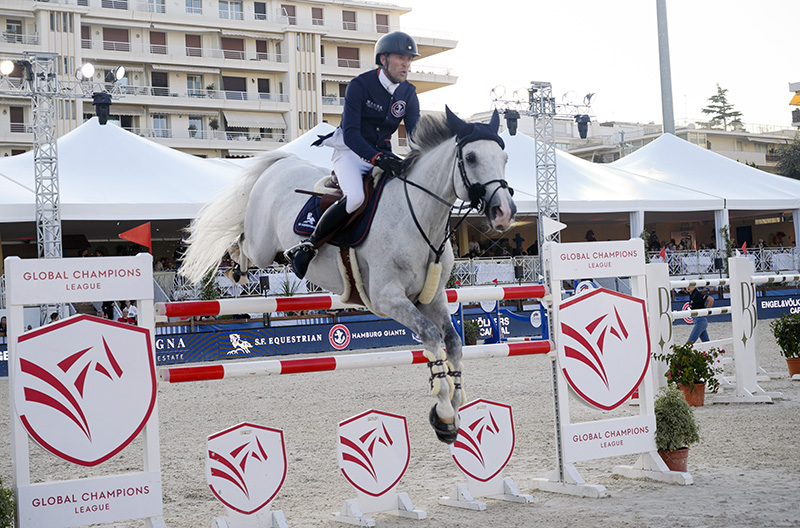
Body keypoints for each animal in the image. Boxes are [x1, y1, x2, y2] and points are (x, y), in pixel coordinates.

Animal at [180, 109, 520, 444]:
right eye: (472, 157)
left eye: (505, 157)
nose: (504, 212)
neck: (419, 218)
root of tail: (282, 164)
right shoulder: (387, 299)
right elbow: (431, 337)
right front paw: (445, 414)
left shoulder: (431, 299)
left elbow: (453, 342)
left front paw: (455, 405)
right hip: (262, 244)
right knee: (242, 240)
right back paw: (237, 267)